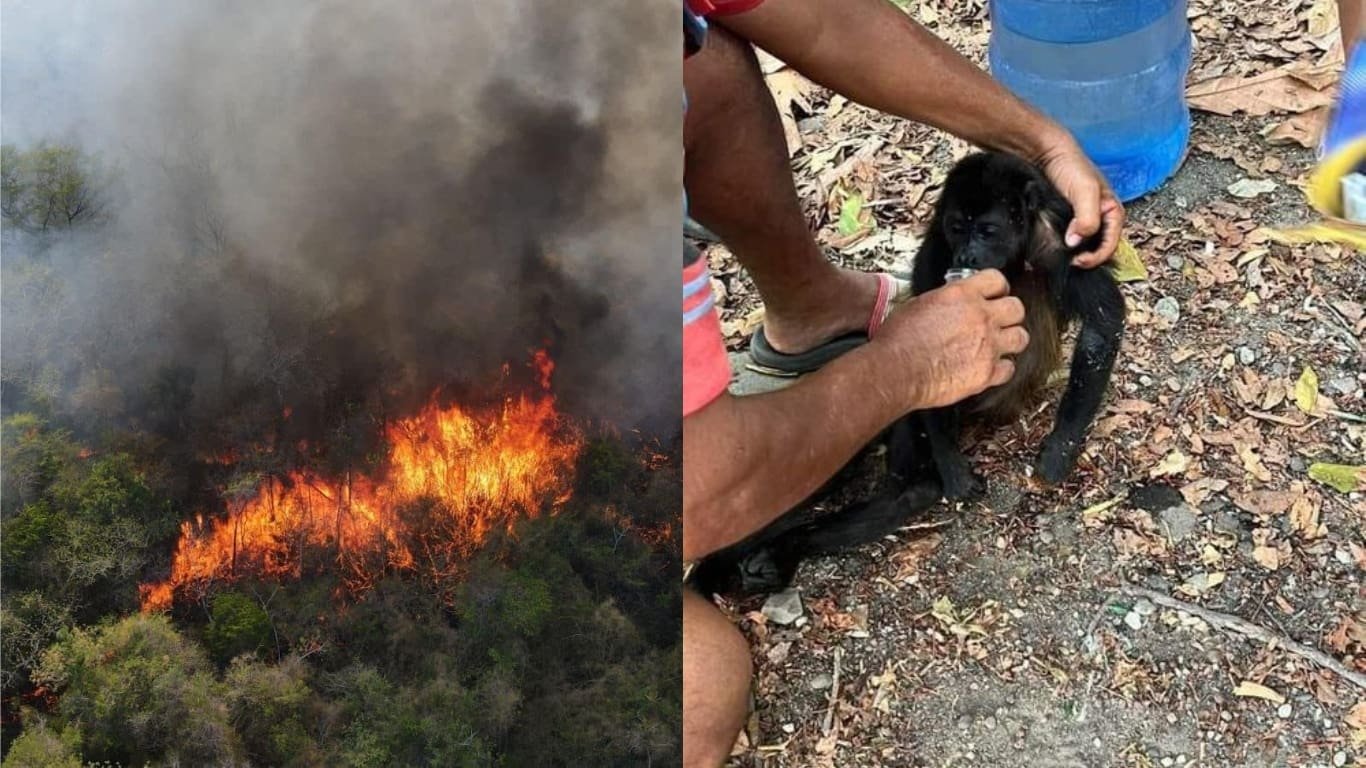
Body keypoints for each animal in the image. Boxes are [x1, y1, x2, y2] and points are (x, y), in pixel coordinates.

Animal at [688, 151, 1125, 598]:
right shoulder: (937, 249)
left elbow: (1101, 325)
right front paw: (952, 467)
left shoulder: (1063, 239)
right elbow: (935, 352)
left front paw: (1059, 449)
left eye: (987, 230)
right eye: (957, 228)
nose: (966, 257)